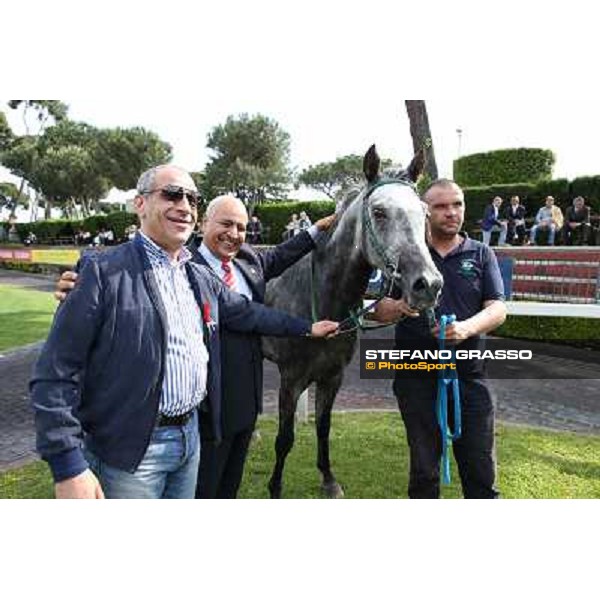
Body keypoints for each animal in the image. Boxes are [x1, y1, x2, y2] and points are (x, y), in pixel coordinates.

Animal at [262, 145, 440, 496]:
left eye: (425, 212)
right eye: (379, 212)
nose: (428, 284)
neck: (322, 298)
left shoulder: (332, 377)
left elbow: (323, 426)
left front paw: (329, 480)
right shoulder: (291, 379)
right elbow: (285, 438)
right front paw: (275, 487)